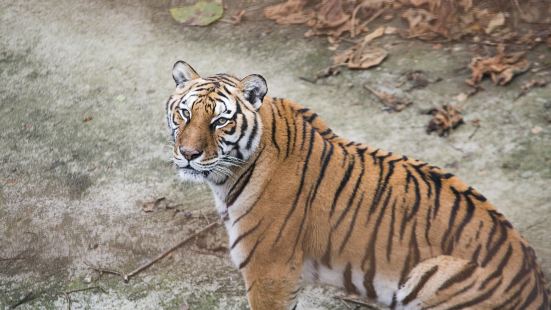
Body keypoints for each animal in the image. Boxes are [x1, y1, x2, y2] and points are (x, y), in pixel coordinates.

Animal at [166, 61, 548, 310]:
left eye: (220, 121)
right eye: (185, 114)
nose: (188, 153)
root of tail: (534, 282)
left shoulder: (269, 271)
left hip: (432, 275)